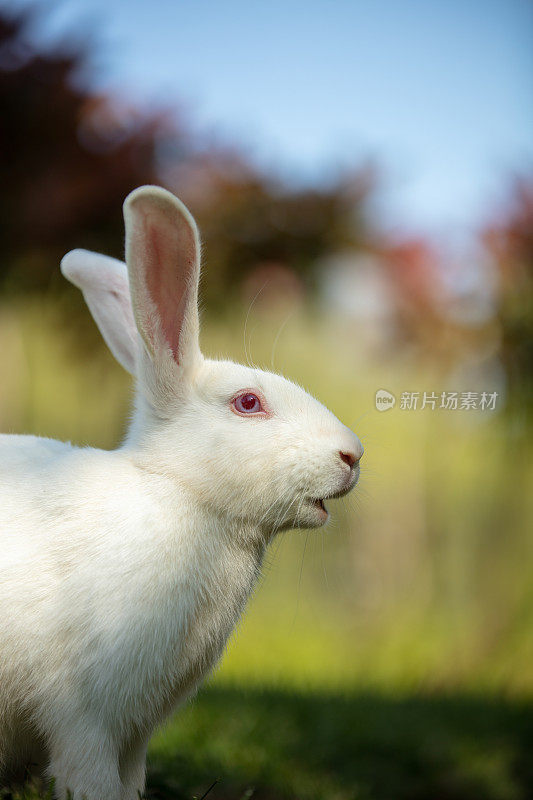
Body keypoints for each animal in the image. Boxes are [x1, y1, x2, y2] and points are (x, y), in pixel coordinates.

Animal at [0, 186, 362, 800]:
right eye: (248, 403)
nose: (353, 457)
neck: (180, 495)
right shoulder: (85, 719)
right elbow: (92, 782)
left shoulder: (134, 735)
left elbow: (130, 783)